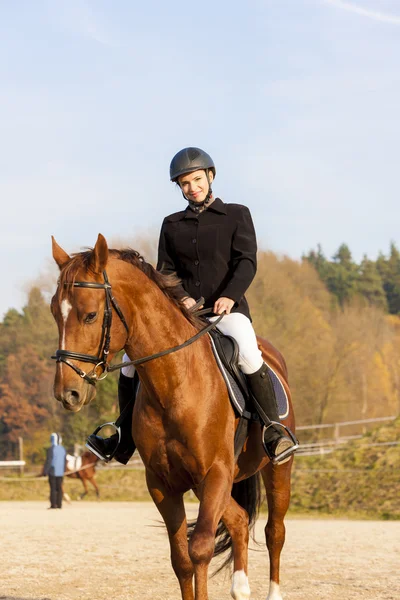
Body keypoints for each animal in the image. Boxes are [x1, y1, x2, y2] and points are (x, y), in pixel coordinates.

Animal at [50, 233, 296, 600]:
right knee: (239, 520)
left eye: (90, 315)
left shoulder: (215, 473)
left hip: (276, 468)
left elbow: (200, 549)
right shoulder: (162, 482)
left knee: (274, 531)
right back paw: (240, 587)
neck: (175, 382)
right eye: (55, 312)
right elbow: (181, 558)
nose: (67, 393)